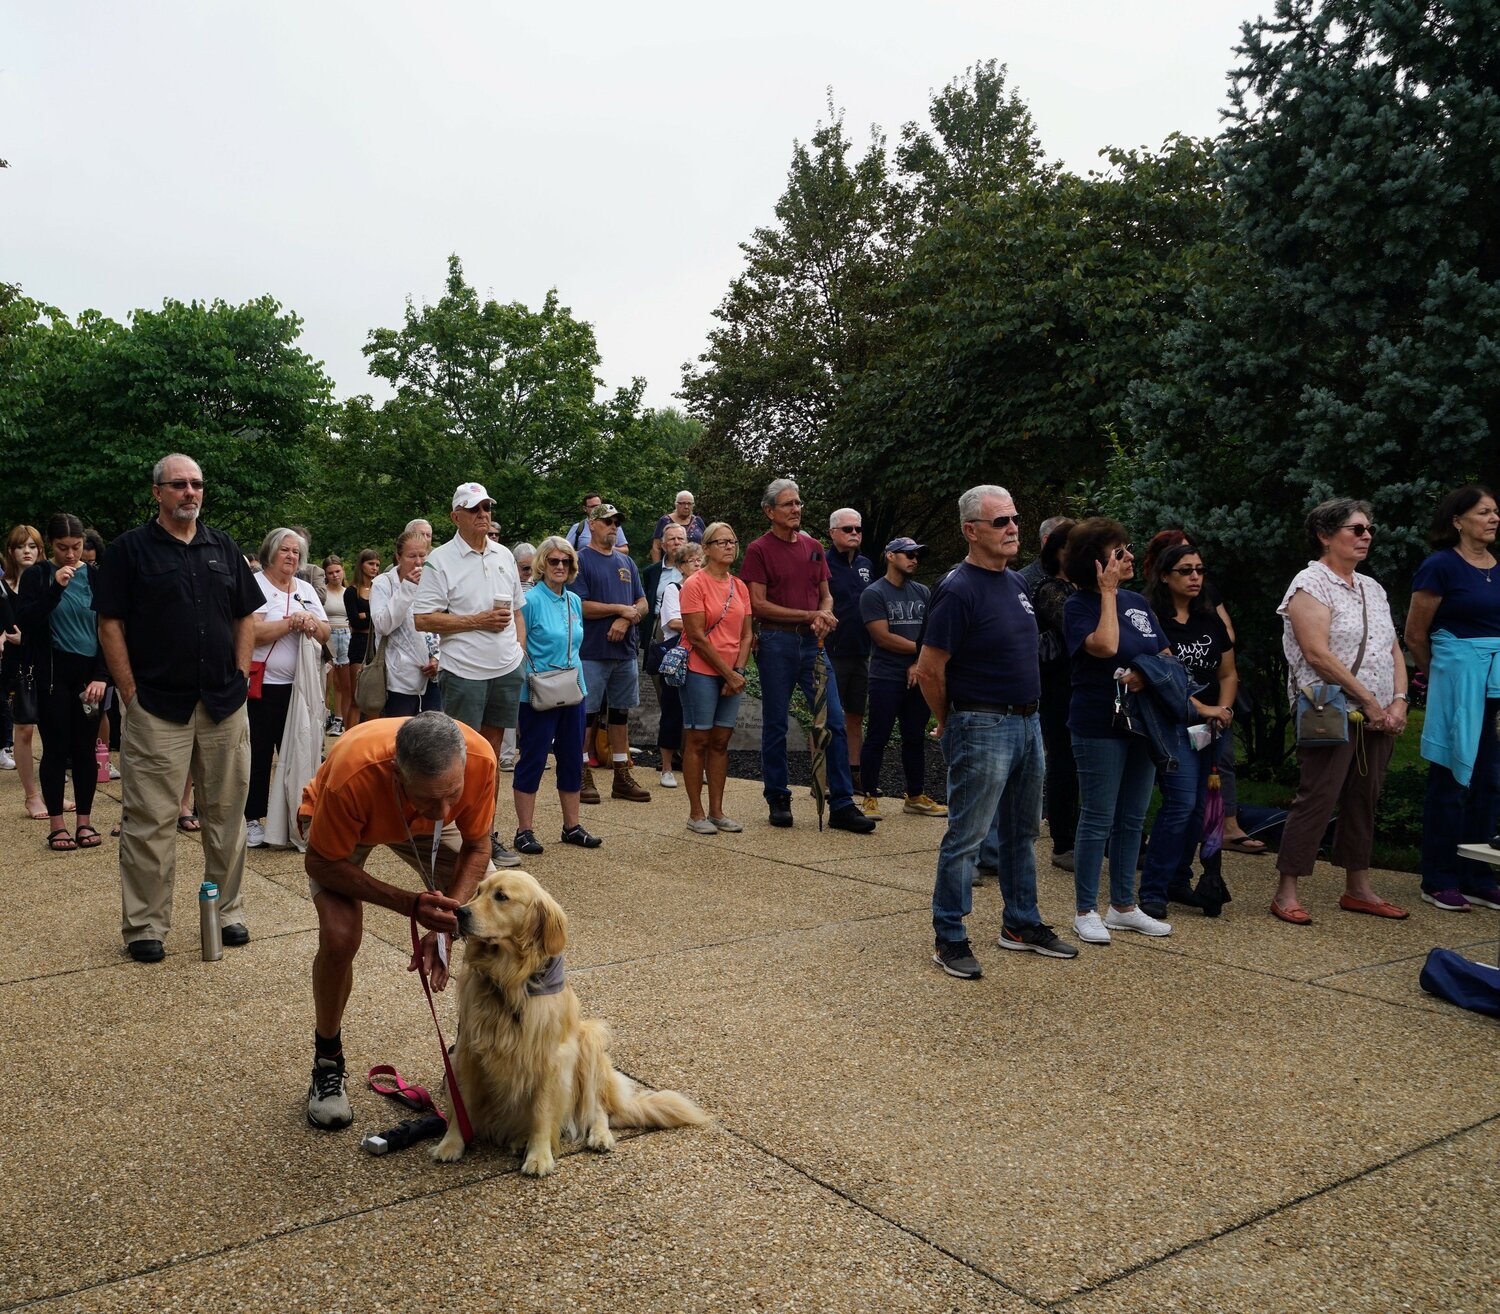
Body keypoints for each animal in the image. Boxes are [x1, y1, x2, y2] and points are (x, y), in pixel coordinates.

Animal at [432, 870, 705, 1170]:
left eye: (501, 896)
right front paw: (451, 1143)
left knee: (597, 1109)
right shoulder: (467, 1051)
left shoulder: (550, 1057)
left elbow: (542, 1112)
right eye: (478, 891)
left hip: (589, 1041)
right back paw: (520, 1140)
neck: (509, 980)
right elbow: (462, 1102)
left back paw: (599, 1135)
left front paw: (539, 1156)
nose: (459, 912)